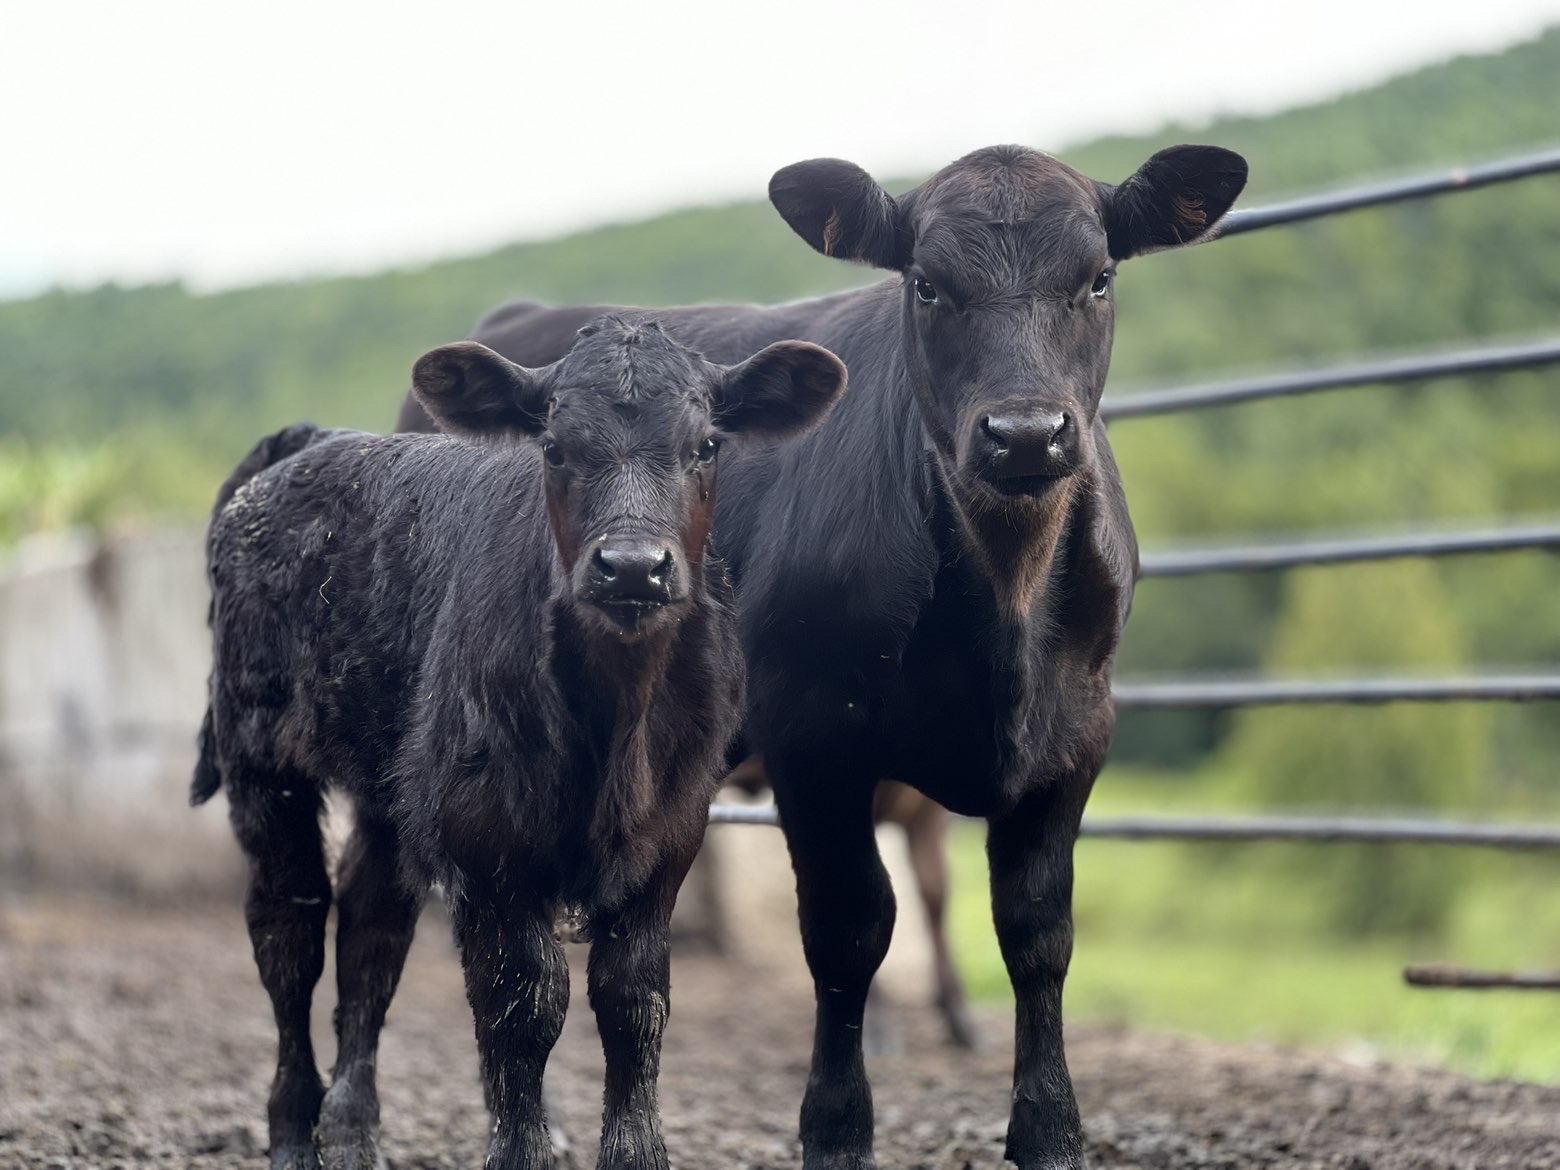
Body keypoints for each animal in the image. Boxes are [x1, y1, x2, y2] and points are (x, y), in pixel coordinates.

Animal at [193, 317, 846, 1170]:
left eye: (706, 445)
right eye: (555, 447)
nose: (631, 568)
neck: (617, 724)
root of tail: (315, 440)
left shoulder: (672, 836)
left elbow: (634, 999)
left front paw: (636, 1154)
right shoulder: (486, 842)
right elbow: (525, 1001)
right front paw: (522, 1150)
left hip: (388, 785)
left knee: (372, 931)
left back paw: (353, 1128)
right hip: (260, 762)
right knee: (290, 931)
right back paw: (295, 1133)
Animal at [399, 143, 1247, 1169]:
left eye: (1099, 278)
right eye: (926, 284)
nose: (1025, 434)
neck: (1003, 600)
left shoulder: (1076, 738)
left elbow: (1037, 932)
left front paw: (1050, 1128)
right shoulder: (815, 738)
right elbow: (849, 930)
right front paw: (838, 1128)